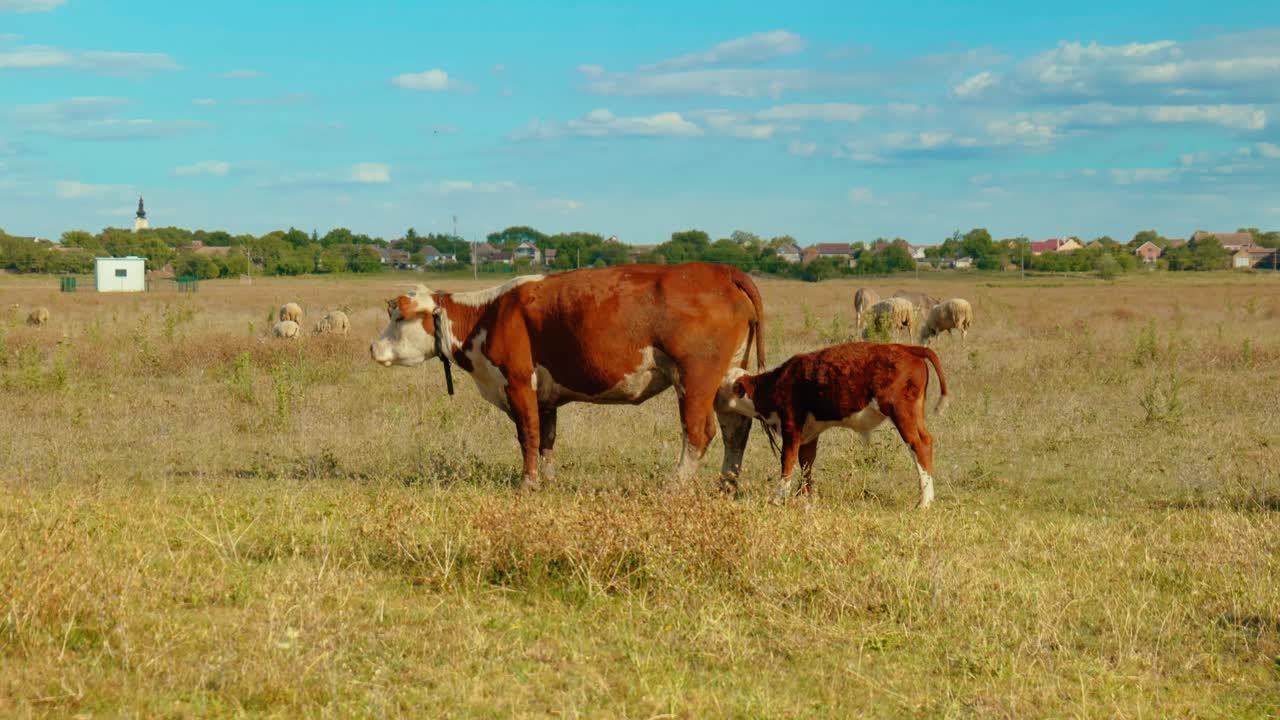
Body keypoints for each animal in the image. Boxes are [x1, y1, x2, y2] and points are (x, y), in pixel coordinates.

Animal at [370, 263, 767, 492]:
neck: (489, 314)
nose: (373, 348)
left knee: (699, 433)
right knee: (735, 431)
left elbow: (528, 435)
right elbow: (546, 439)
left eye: (399, 317)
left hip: (695, 378)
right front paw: (548, 481)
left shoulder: (518, 383)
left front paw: (527, 484)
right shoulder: (545, 397)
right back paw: (726, 486)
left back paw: (675, 486)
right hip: (728, 377)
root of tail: (720, 270)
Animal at [720, 342, 948, 508]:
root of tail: (907, 348)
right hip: (913, 414)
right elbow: (806, 463)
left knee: (919, 444)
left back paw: (924, 502)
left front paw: (779, 497)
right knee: (926, 441)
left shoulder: (791, 425)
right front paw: (803, 496)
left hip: (901, 412)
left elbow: (788, 461)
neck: (776, 383)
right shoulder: (809, 433)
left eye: (722, 387)